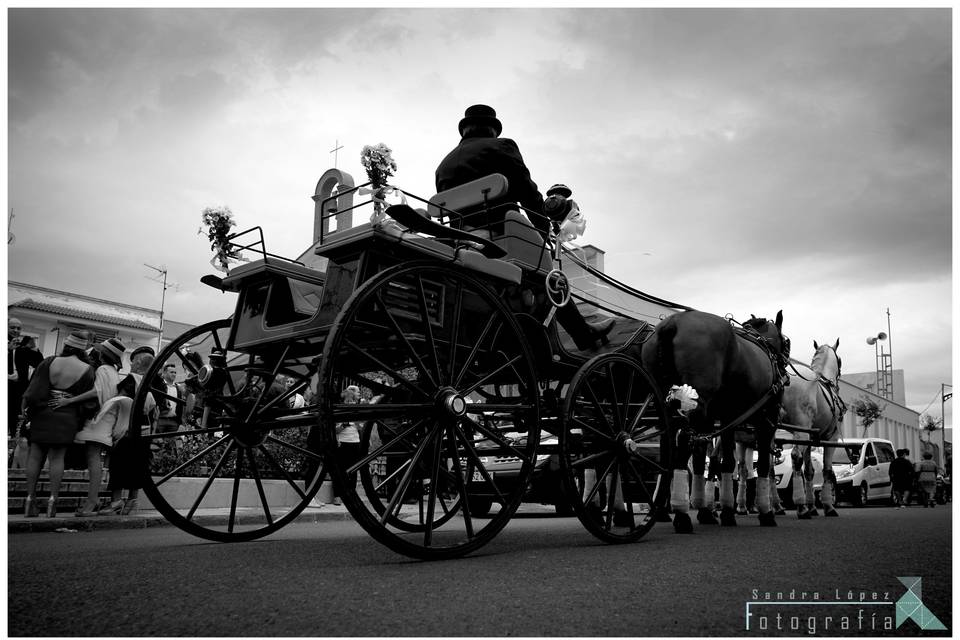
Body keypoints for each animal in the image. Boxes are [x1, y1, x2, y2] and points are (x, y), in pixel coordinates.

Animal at [636, 308, 788, 528]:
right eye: (787, 342)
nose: (785, 366)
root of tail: (673, 322)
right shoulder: (767, 420)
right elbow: (763, 466)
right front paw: (765, 513)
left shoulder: (722, 419)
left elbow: (712, 461)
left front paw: (716, 511)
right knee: (684, 442)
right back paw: (681, 516)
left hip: (667, 408)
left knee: (669, 453)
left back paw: (665, 510)